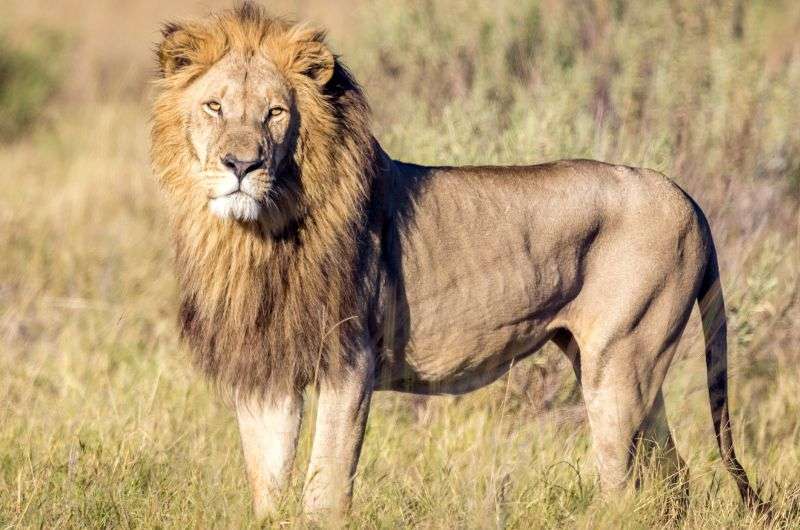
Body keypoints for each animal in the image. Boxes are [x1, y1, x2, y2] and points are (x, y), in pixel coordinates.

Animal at [148, 2, 764, 516]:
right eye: (214, 106)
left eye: (275, 113)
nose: (240, 165)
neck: (258, 235)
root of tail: (685, 195)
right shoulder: (268, 368)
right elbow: (268, 485)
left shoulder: (351, 359)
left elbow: (326, 486)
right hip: (629, 370)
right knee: (673, 477)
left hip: (620, 365)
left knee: (624, 486)